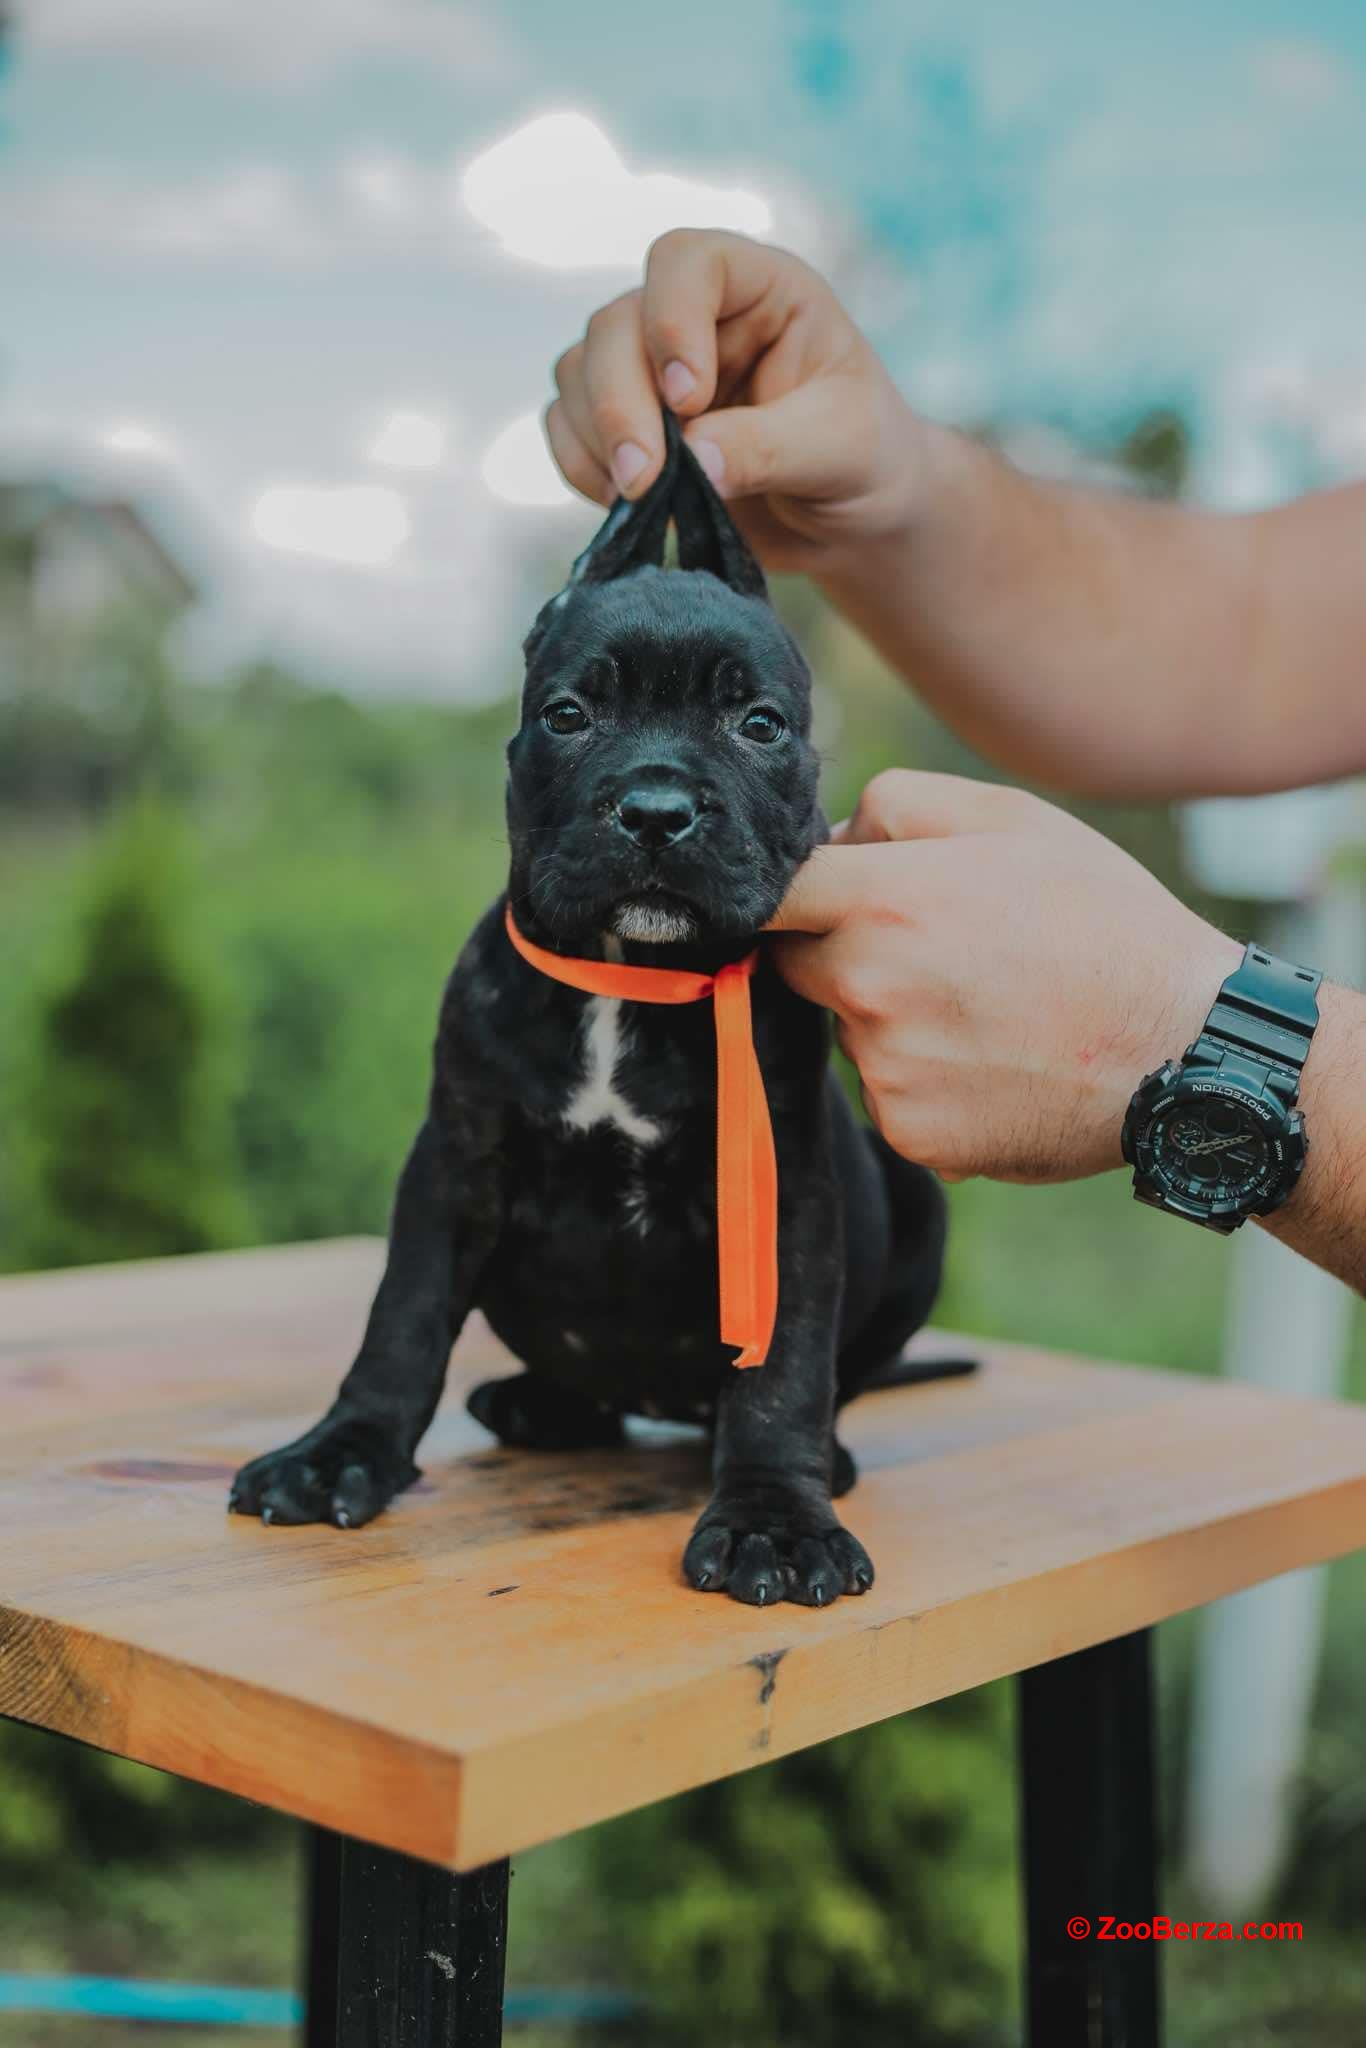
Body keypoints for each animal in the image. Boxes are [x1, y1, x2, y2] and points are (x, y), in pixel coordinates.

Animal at [227, 423, 950, 1605]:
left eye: (758, 724)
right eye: (570, 714)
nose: (656, 810)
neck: (629, 984)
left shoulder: (783, 1190)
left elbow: (783, 1370)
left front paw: (772, 1514)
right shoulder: (454, 1164)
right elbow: (401, 1319)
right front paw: (341, 1451)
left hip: (915, 1198)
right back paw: (537, 1403)